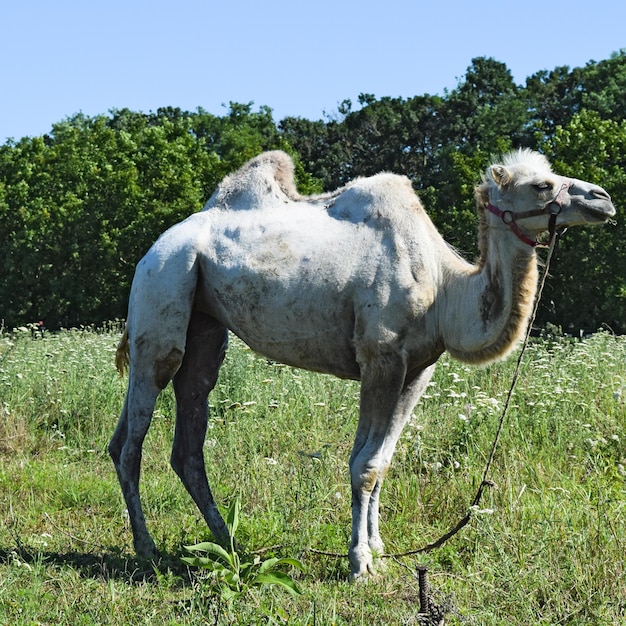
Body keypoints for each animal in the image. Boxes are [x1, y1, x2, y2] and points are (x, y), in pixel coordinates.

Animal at [108, 149, 616, 576]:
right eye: (542, 185)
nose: (605, 199)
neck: (445, 288)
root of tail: (154, 249)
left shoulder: (418, 370)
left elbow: (381, 461)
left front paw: (380, 550)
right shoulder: (381, 356)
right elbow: (365, 465)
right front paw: (359, 562)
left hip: (205, 323)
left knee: (185, 430)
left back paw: (229, 544)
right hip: (163, 289)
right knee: (134, 436)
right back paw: (147, 548)